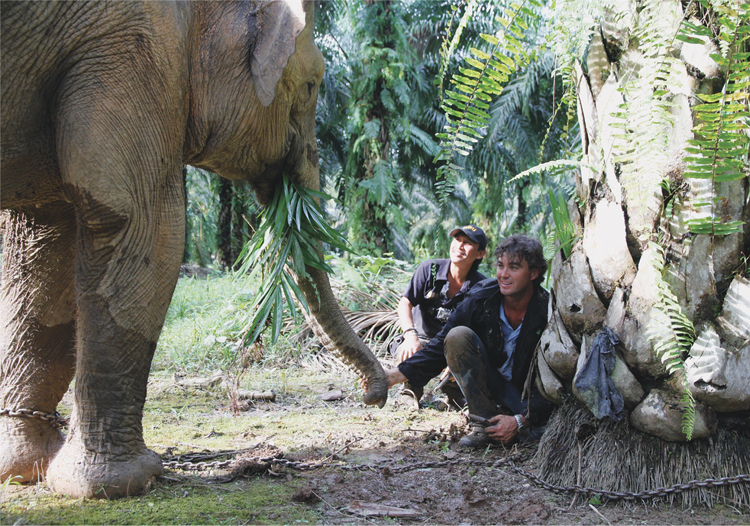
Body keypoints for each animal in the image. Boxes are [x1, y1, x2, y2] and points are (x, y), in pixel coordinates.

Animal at [0, 0, 388, 500]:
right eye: (311, 85)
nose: (373, 396)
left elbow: (44, 241)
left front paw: (26, 469)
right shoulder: (137, 46)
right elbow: (142, 225)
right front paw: (122, 483)